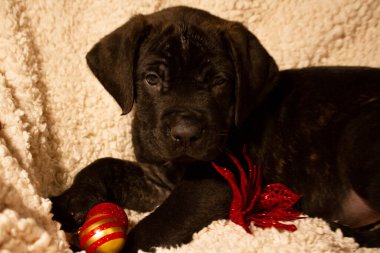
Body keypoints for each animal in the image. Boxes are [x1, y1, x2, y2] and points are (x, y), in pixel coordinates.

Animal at [50, 5, 380, 251]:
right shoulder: (156, 182)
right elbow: (103, 165)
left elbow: (153, 227)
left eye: (219, 81)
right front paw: (68, 204)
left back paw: (338, 230)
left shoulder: (210, 185)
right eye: (152, 79)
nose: (185, 134)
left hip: (356, 136)